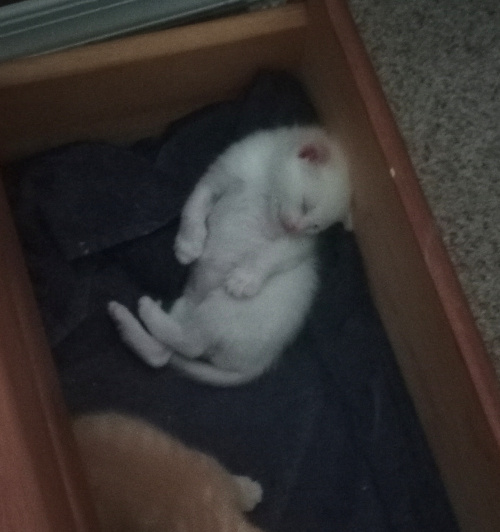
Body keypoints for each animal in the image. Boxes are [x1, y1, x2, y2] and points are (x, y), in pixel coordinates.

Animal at [108, 128, 352, 386]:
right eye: (306, 204)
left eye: (315, 226)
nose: (293, 228)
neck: (266, 181)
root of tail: (257, 364)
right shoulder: (220, 175)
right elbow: (193, 206)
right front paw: (188, 243)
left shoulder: (301, 244)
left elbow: (271, 255)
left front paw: (245, 278)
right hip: (190, 305)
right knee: (162, 353)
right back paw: (128, 320)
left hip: (223, 308)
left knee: (190, 343)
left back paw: (147, 311)